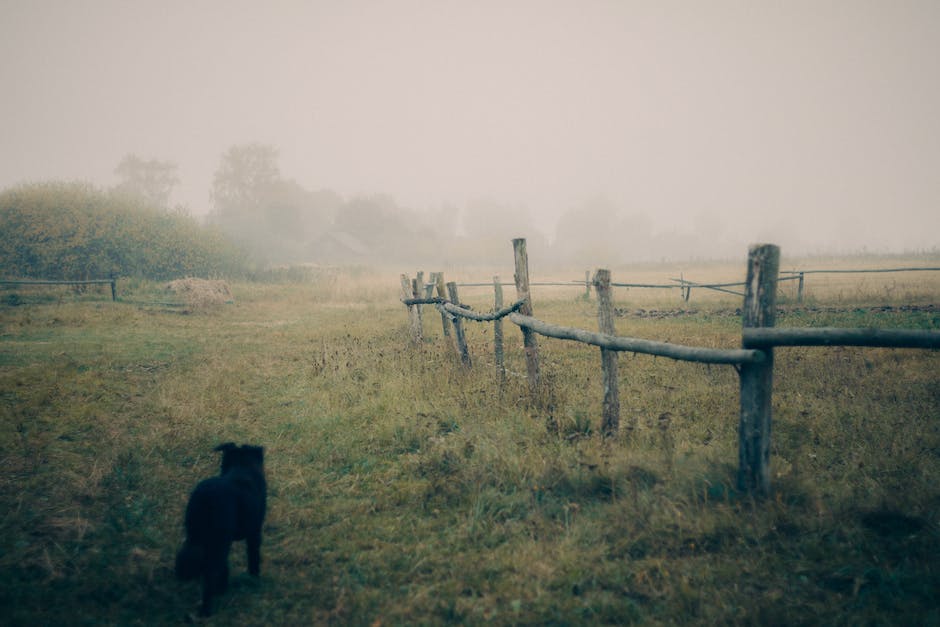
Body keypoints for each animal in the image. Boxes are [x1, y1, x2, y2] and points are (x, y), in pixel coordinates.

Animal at [176, 444, 266, 616]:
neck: (241, 467)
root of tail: (207, 497)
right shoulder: (254, 532)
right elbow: (254, 556)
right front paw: (254, 577)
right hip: (219, 541)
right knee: (211, 573)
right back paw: (206, 610)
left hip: (196, 536)